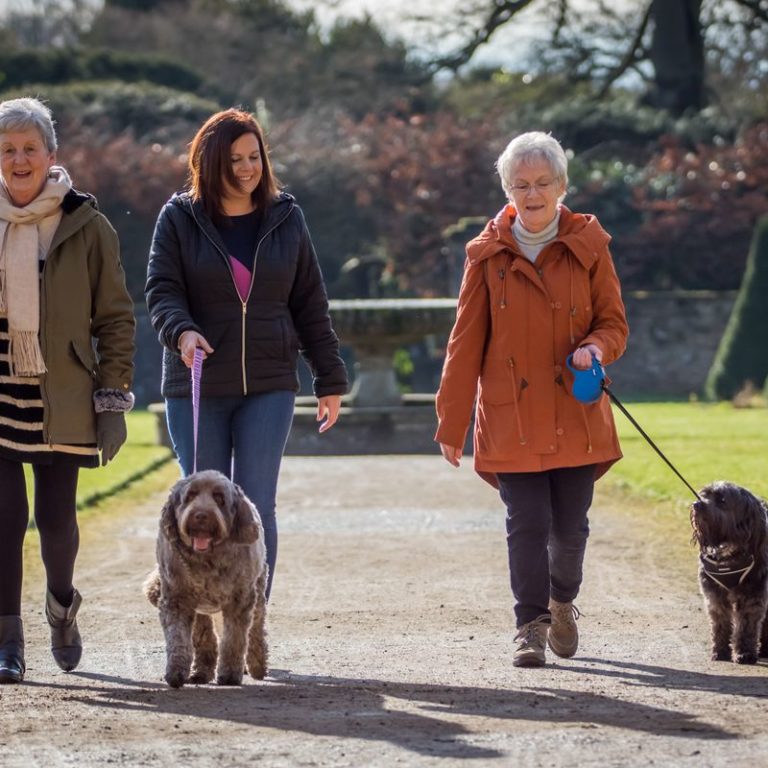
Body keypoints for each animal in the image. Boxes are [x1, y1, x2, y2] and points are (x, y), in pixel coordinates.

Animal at [145, 472, 270, 688]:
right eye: (190, 496)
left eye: (219, 498)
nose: (201, 516)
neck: (206, 560)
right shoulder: (177, 600)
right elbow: (178, 638)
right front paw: (176, 671)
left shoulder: (239, 601)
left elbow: (234, 640)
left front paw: (229, 675)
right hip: (200, 609)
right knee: (205, 637)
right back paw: (201, 672)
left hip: (258, 591)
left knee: (255, 628)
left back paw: (257, 664)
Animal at [688, 484, 768, 664]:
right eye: (704, 494)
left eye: (722, 500)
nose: (696, 504)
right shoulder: (714, 596)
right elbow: (720, 623)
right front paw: (720, 650)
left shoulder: (752, 596)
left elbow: (746, 627)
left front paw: (745, 653)